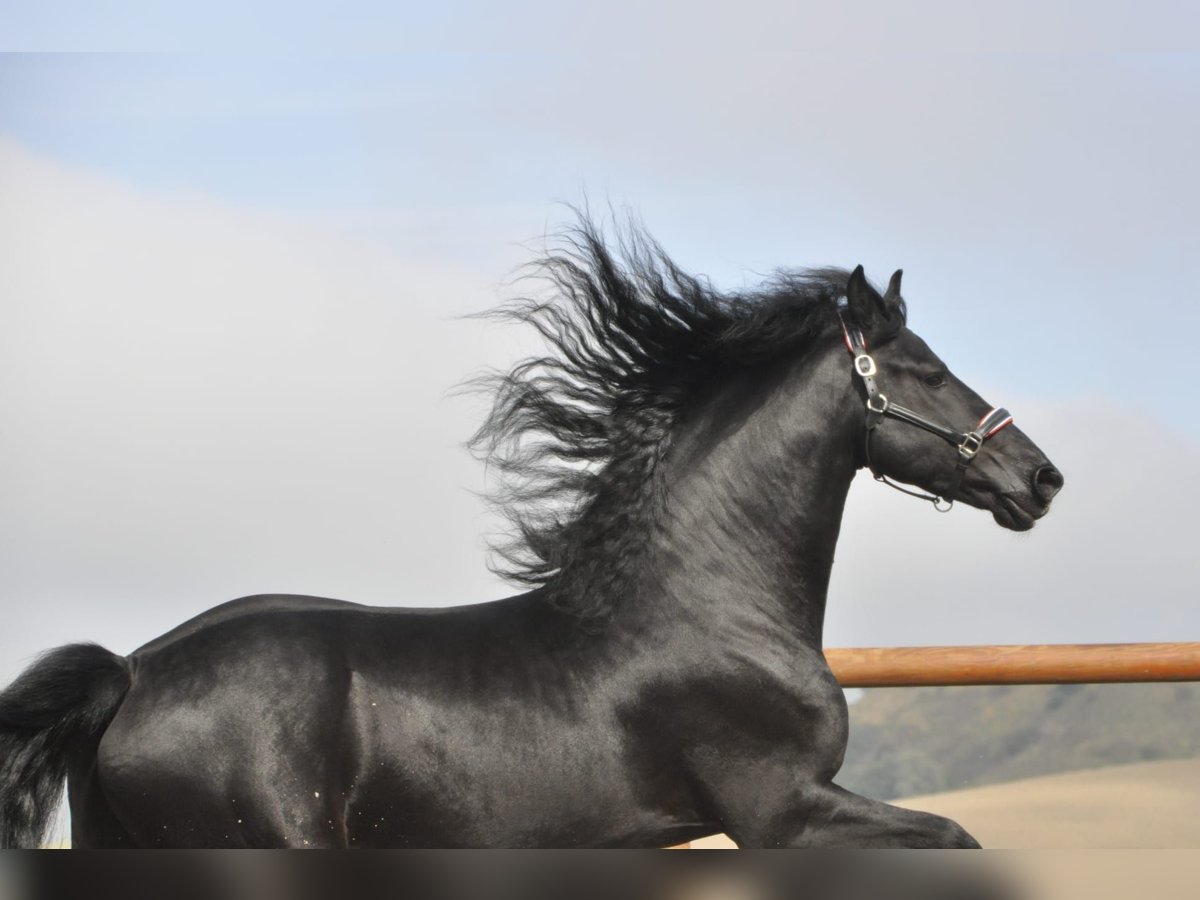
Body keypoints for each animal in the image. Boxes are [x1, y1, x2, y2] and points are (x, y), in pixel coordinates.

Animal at [0, 222, 1065, 849]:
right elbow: (958, 837)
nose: (1041, 479)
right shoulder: (781, 809)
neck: (712, 610)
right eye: (926, 369)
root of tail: (130, 671)